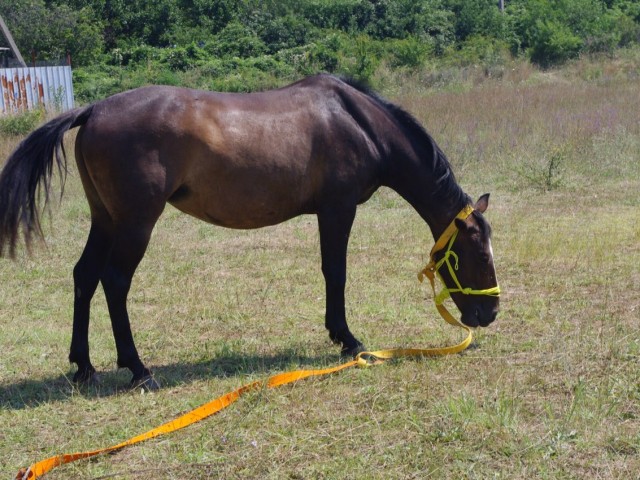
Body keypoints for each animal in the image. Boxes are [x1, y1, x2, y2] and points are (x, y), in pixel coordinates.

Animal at [0, 76, 500, 390]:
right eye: (477, 253)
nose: (490, 313)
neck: (360, 124)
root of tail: (92, 110)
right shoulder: (336, 210)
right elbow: (335, 272)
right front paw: (347, 339)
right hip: (135, 222)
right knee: (114, 281)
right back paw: (139, 370)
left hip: (105, 218)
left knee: (84, 276)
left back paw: (84, 367)